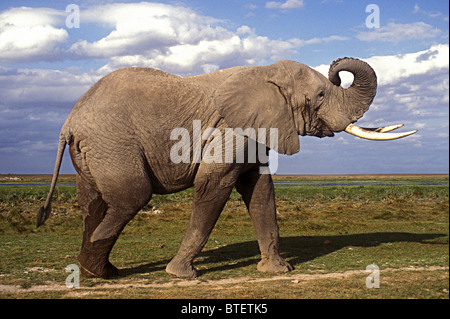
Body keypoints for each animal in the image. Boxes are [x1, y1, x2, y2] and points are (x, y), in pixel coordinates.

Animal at [37, 58, 416, 278]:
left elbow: (261, 192)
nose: (338, 71)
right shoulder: (231, 129)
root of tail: (69, 121)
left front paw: (277, 270)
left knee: (93, 203)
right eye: (321, 94)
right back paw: (100, 273)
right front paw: (180, 275)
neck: (264, 72)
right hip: (112, 143)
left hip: (92, 152)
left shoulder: (255, 130)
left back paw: (98, 270)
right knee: (131, 197)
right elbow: (213, 184)